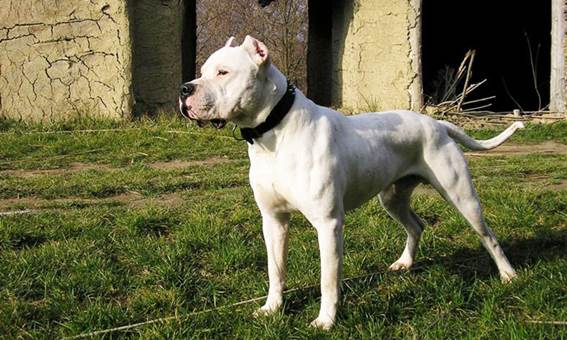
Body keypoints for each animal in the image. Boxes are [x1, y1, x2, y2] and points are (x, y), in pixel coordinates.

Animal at [181, 35, 524, 330]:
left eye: (223, 72)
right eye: (203, 72)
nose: (185, 89)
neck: (274, 133)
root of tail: (437, 123)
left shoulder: (328, 224)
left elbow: (328, 280)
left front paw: (325, 321)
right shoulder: (273, 221)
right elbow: (275, 270)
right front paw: (272, 308)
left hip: (461, 195)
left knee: (488, 236)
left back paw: (508, 275)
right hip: (392, 198)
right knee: (416, 225)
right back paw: (404, 263)